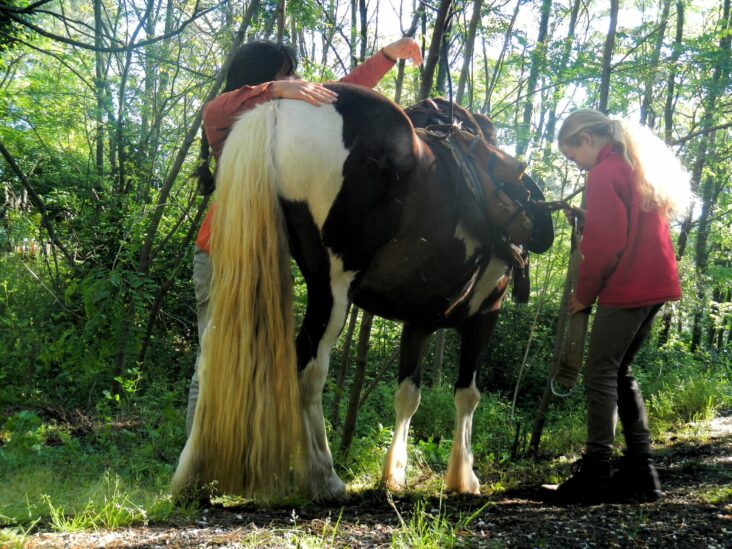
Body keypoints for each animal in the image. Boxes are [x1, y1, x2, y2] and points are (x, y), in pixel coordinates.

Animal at [174, 82, 556, 500]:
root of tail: (276, 109)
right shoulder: (486, 312)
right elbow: (467, 395)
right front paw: (463, 477)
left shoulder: (418, 321)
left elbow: (408, 395)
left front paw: (395, 473)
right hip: (332, 287)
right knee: (308, 370)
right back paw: (323, 477)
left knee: (211, 360)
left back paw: (192, 471)